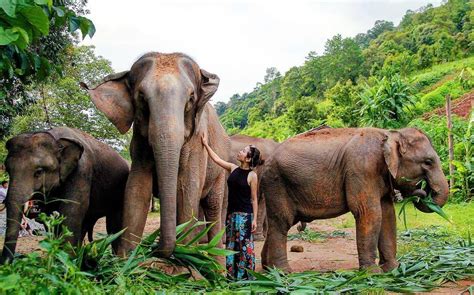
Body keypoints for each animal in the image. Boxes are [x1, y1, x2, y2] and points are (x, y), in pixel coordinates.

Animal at [0, 127, 130, 264]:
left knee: (113, 225)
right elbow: (50, 214)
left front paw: (65, 262)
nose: (6, 264)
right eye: (7, 170)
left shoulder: (82, 170)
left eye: (39, 172)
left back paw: (116, 260)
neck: (55, 138)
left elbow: (71, 211)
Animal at [82, 52, 231, 258]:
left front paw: (186, 253)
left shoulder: (198, 142)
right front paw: (127, 259)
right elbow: (137, 189)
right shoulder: (139, 142)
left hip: (219, 172)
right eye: (142, 97)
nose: (155, 248)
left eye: (191, 98)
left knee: (213, 207)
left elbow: (187, 188)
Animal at [262, 128, 450, 274]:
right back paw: (283, 273)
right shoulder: (363, 169)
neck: (390, 134)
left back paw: (268, 270)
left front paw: (393, 269)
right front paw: (372, 273)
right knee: (281, 222)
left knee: (278, 224)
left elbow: (387, 215)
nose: (422, 191)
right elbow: (369, 213)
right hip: (276, 183)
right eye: (428, 162)